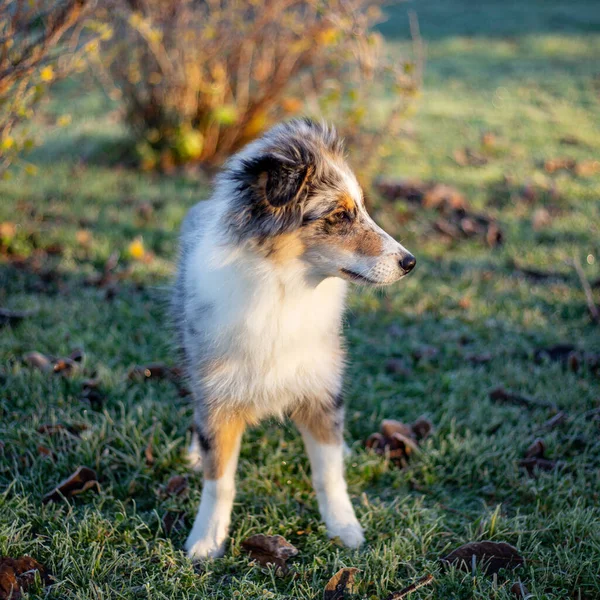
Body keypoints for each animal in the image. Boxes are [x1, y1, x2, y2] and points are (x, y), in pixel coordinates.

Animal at [172, 119, 418, 560]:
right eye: (339, 215)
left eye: (363, 209)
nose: (410, 263)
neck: (285, 290)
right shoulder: (218, 394)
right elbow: (220, 479)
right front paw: (206, 539)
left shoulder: (322, 389)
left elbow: (329, 474)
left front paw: (345, 529)